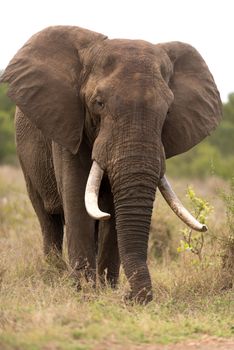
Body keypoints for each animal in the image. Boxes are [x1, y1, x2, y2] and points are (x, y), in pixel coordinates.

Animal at [0, 25, 222, 304]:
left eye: (168, 111)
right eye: (98, 103)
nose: (131, 297)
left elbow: (113, 213)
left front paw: (106, 290)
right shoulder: (68, 125)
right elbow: (76, 200)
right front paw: (84, 292)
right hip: (27, 159)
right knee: (47, 218)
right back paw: (53, 275)